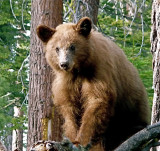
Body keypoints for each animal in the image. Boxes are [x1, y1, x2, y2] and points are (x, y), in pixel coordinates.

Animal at [36, 17, 150, 150]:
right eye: (57, 48)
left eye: (72, 46)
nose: (64, 64)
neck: (79, 70)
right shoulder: (67, 82)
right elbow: (70, 109)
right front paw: (72, 138)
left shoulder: (99, 71)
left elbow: (97, 101)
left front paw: (83, 141)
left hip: (131, 111)